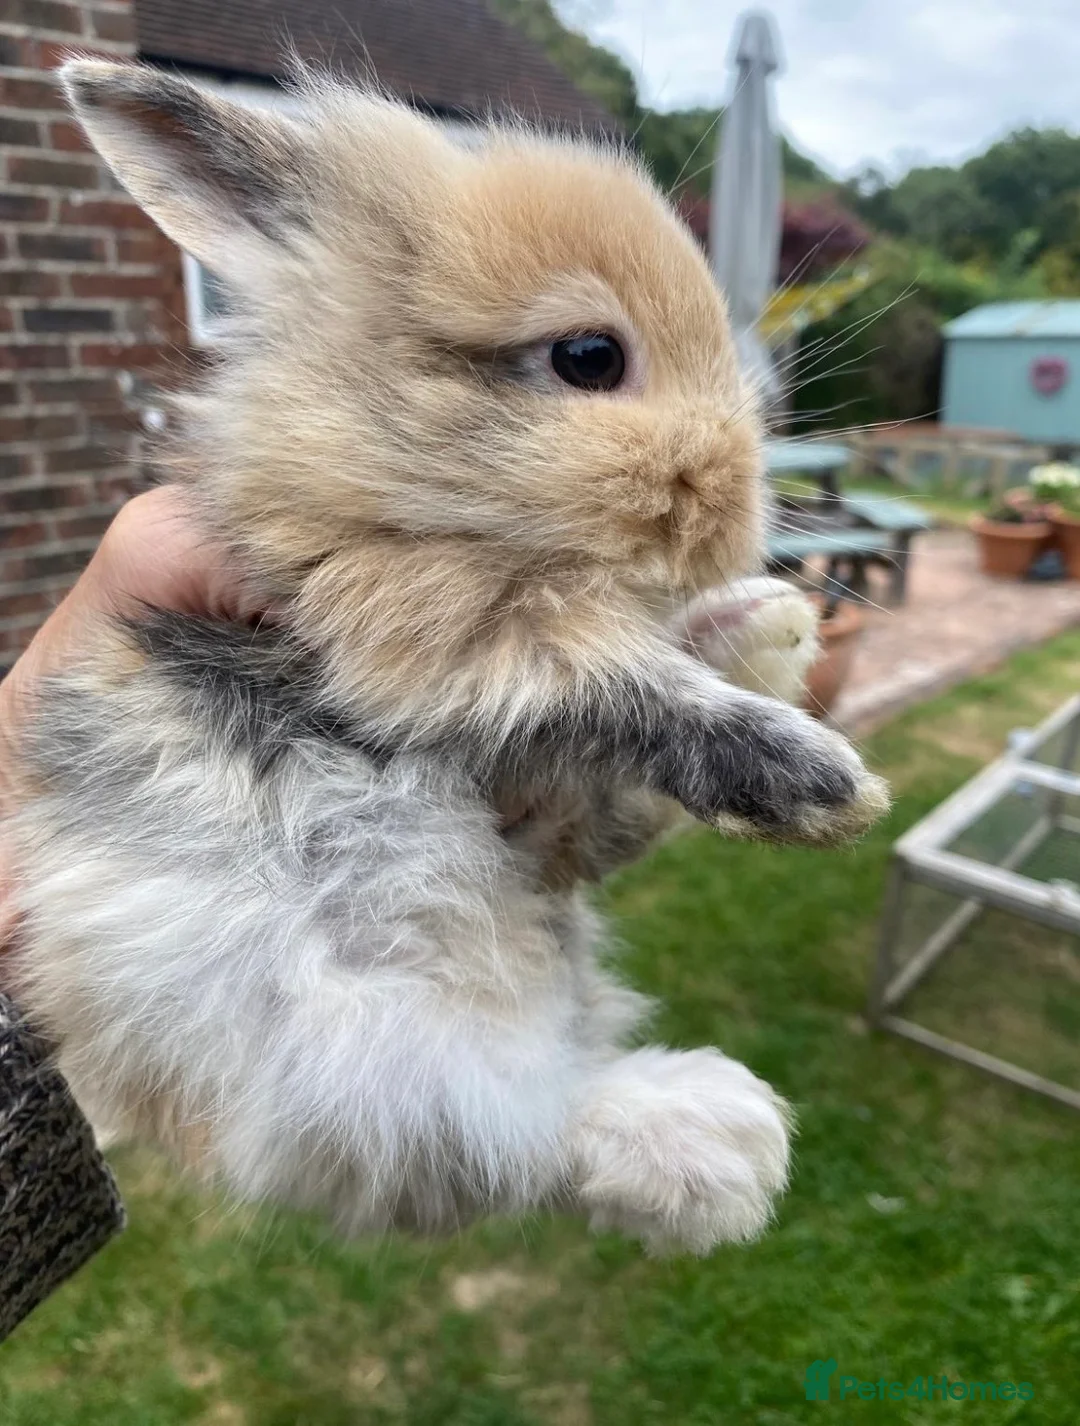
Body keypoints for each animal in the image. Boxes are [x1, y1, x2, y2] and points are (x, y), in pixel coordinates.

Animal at [5, 60, 888, 1255]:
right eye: (588, 357)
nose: (732, 531)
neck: (394, 478)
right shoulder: (424, 635)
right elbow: (622, 686)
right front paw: (827, 782)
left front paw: (761, 623)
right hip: (338, 1051)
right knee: (507, 1137)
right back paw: (716, 1141)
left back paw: (761, 634)